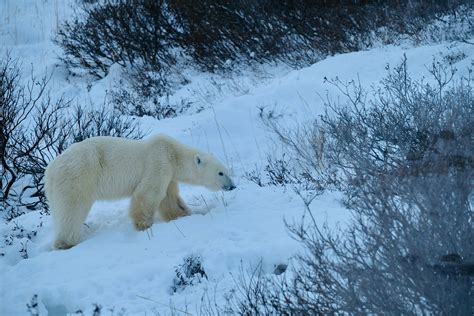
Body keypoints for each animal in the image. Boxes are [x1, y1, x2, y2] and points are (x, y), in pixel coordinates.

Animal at [45, 133, 234, 249]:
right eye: (221, 173)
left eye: (227, 170)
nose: (233, 186)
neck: (173, 153)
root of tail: (50, 170)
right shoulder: (158, 162)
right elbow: (148, 193)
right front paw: (144, 225)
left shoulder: (169, 173)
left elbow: (169, 199)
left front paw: (183, 214)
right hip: (78, 176)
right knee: (73, 208)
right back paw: (66, 242)